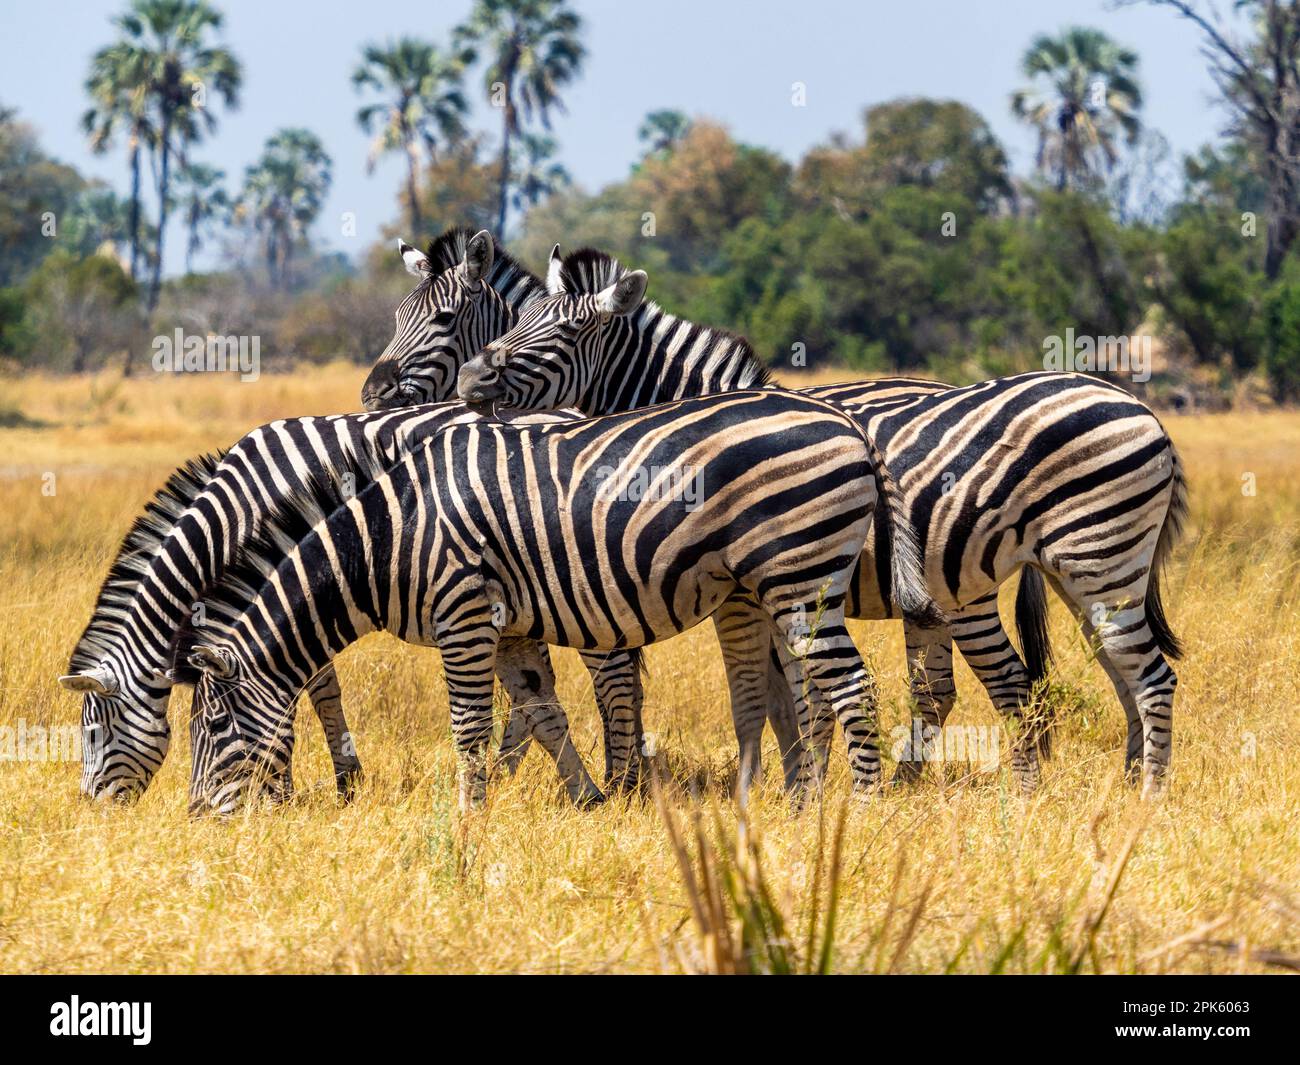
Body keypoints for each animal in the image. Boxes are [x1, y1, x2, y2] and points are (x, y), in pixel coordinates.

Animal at [62, 403, 644, 806]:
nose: (92, 810)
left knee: (613, 677)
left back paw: (622, 782)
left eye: (92, 733)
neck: (237, 512)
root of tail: (572, 414)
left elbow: (313, 686)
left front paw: (320, 784)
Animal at [175, 392, 946, 816]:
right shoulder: (511, 629)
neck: (392, 535)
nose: (196, 817)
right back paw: (805, 803)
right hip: (786, 583)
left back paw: (864, 804)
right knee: (816, 692)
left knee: (852, 685)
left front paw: (468, 816)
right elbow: (542, 711)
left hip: (800, 574)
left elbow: (467, 724)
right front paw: (586, 799)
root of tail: (845, 420)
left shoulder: (461, 611)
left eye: (212, 724)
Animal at [454, 249, 1190, 795]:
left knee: (1135, 675)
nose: (468, 379)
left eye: (564, 334)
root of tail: (1139, 407)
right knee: (1116, 670)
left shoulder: (755, 591)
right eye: (519, 319)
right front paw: (798, 789)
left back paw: (1145, 795)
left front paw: (786, 791)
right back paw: (1123, 785)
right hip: (1076, 570)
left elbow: (779, 698)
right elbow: (791, 700)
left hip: (1086, 557)